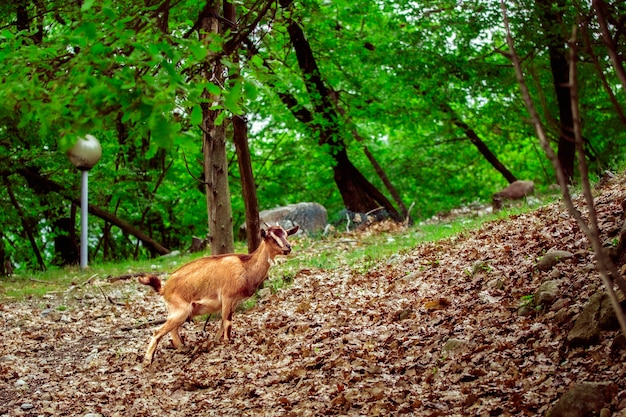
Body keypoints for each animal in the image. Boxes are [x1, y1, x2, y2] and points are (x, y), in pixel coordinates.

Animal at [138, 223, 298, 362]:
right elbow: (227, 323)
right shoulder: (228, 297)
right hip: (180, 311)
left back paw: (183, 349)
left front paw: (216, 342)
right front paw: (227, 343)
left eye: (286, 234)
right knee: (158, 331)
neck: (245, 267)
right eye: (270, 237)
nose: (288, 247)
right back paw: (148, 360)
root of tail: (164, 288)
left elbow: (222, 323)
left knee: (174, 332)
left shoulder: (234, 302)